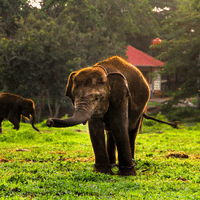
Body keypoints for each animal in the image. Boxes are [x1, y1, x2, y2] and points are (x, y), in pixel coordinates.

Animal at [46, 55, 177, 176]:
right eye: (74, 97)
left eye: (97, 98)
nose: (49, 121)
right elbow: (95, 128)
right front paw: (102, 172)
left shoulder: (122, 95)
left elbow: (118, 125)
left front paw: (127, 174)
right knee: (110, 132)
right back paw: (113, 164)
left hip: (141, 108)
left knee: (131, 130)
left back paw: (131, 162)